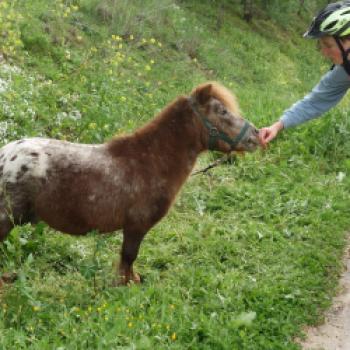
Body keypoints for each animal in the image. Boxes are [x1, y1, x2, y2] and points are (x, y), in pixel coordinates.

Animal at [0, 82, 260, 284]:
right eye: (222, 111)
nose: (256, 135)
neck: (151, 162)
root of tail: (5, 155)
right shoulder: (136, 225)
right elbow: (129, 256)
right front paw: (127, 282)